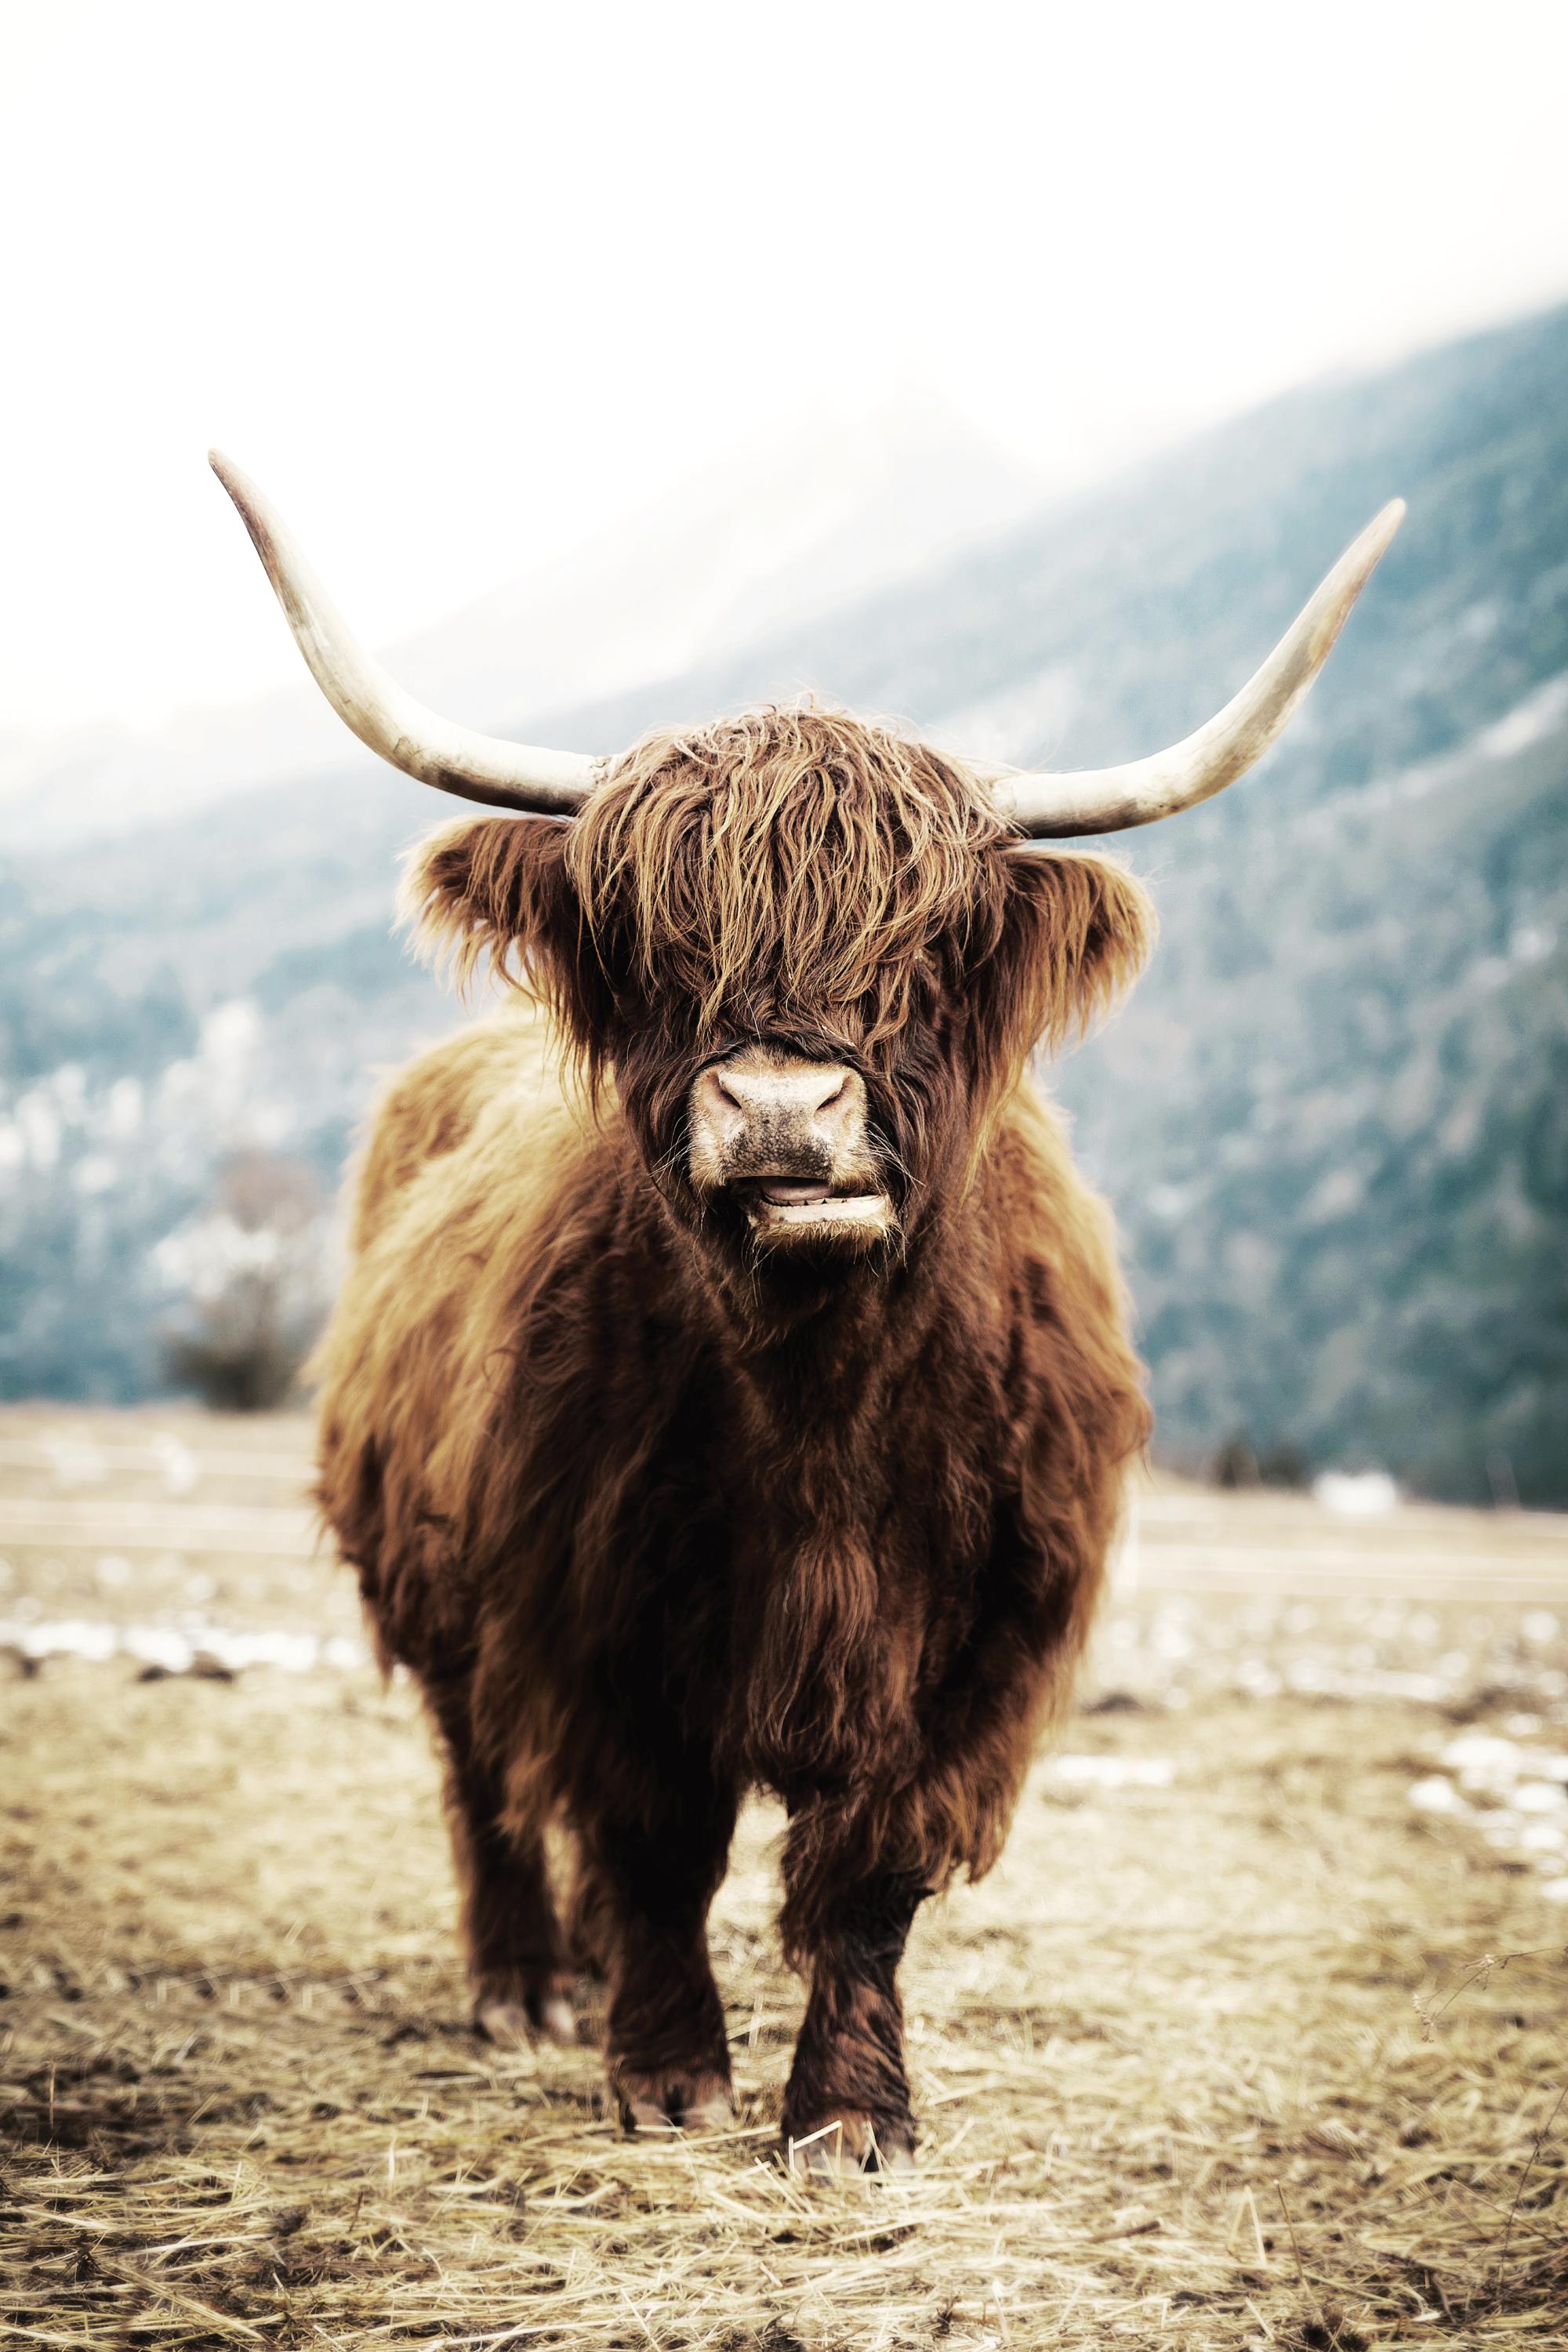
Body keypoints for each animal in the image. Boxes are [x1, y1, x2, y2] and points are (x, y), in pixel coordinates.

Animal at [212, 454, 1401, 2171]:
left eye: (928, 948)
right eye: (655, 947)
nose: (780, 1109)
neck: (821, 1403)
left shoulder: (985, 1649)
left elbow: (870, 1874)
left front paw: (848, 2111)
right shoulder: (590, 1610)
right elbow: (649, 1837)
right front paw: (665, 2075)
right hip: (430, 1580)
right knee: (483, 1775)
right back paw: (527, 1982)